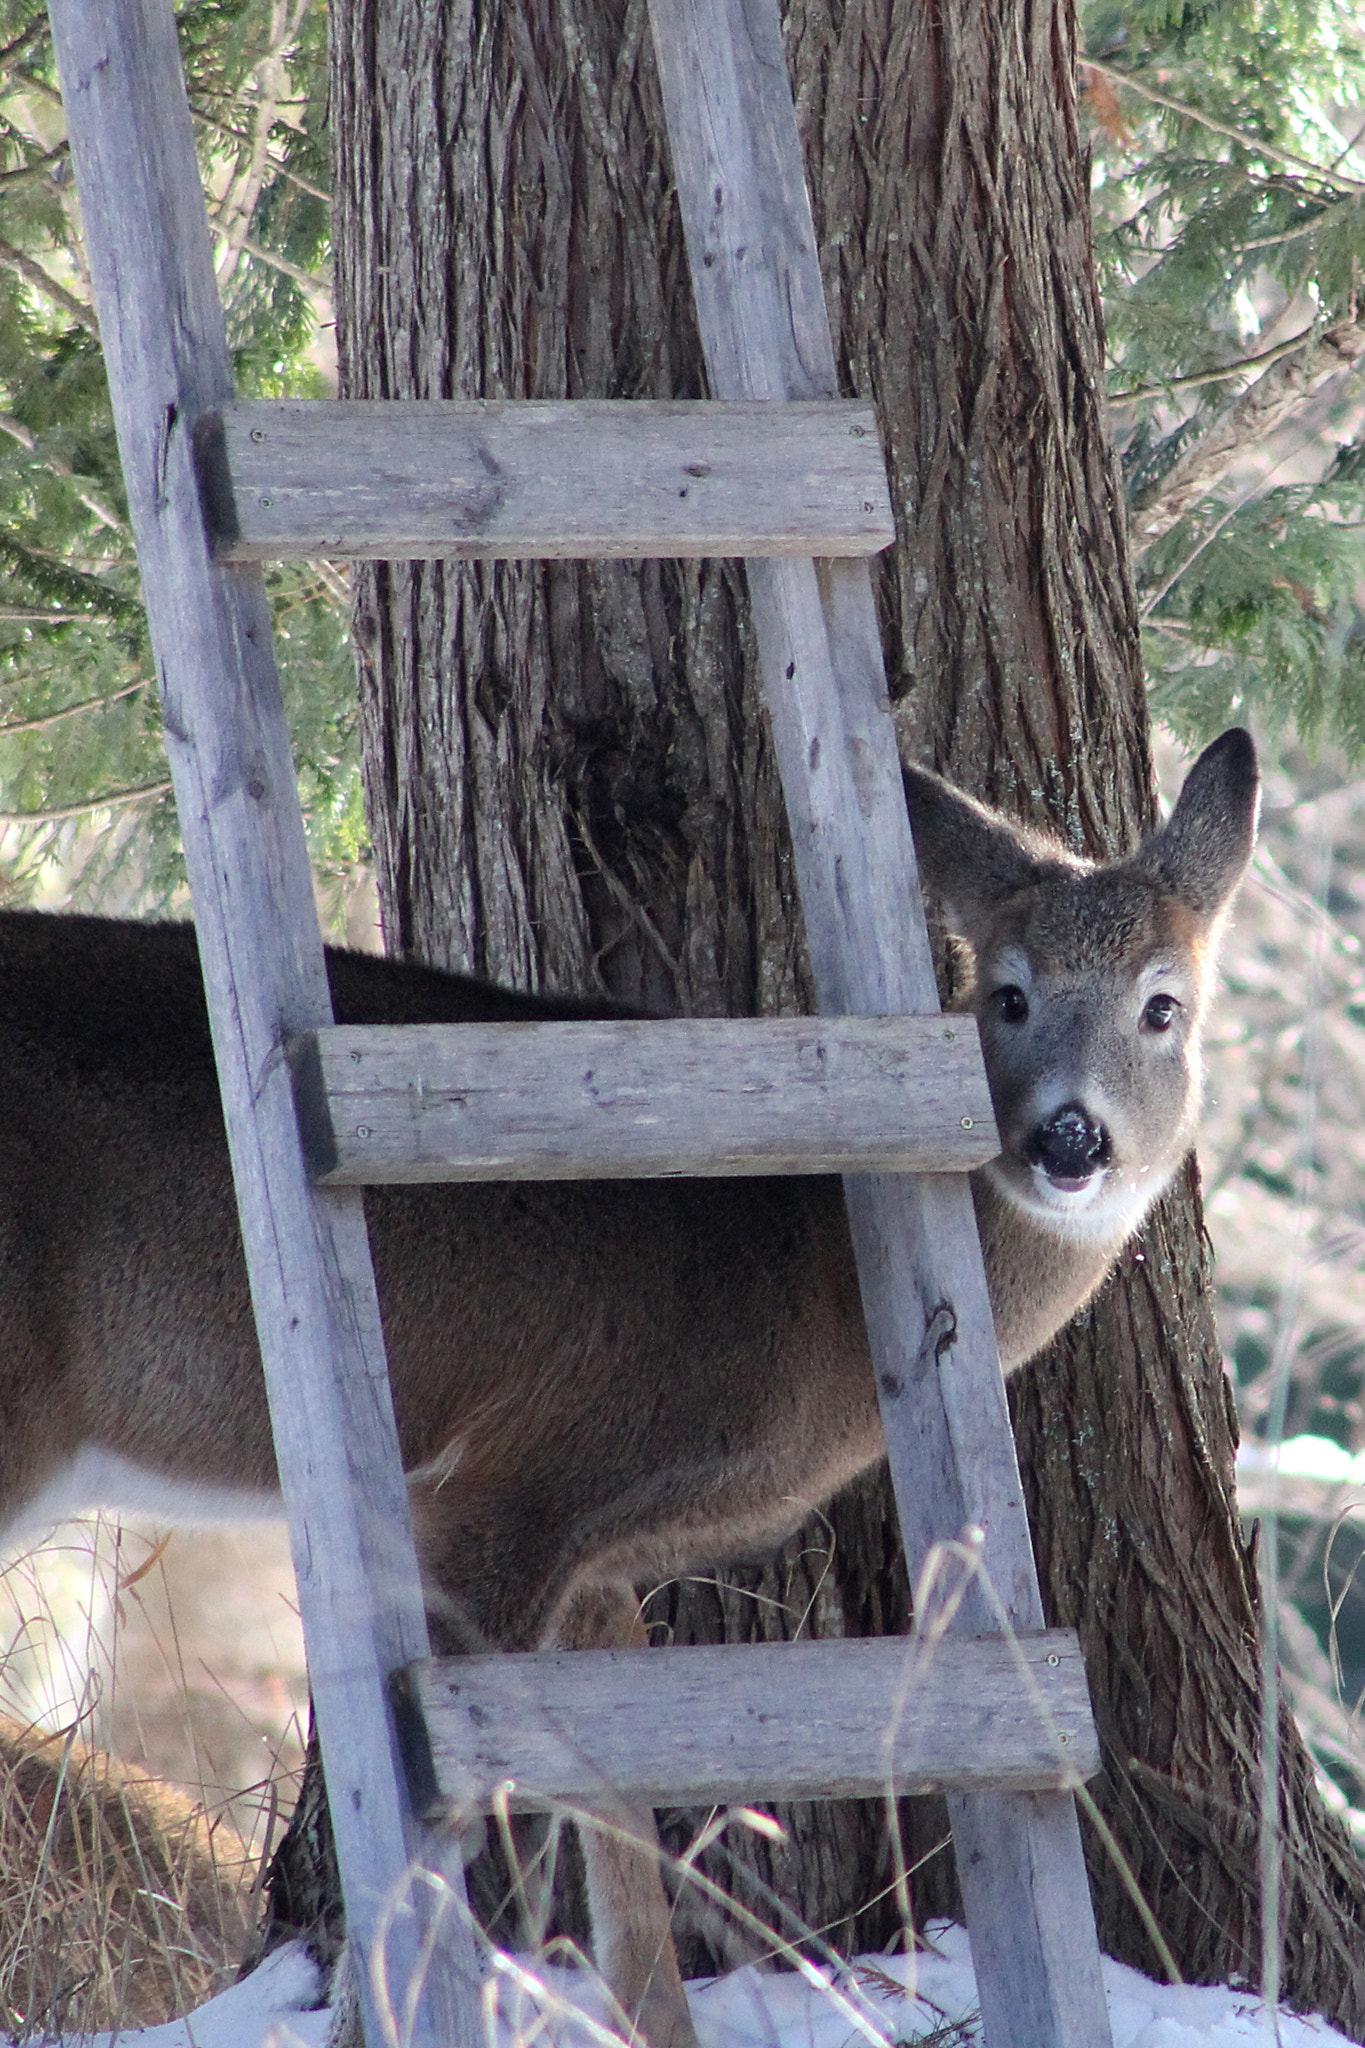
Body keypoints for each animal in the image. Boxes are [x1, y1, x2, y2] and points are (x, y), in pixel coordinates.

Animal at [0, 728, 1257, 2048]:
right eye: (1007, 994)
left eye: (1162, 1005)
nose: (1071, 1137)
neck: (819, 1274)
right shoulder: (513, 1475)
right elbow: (449, 1814)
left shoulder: (598, 1552)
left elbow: (620, 1818)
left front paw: (650, 2016)